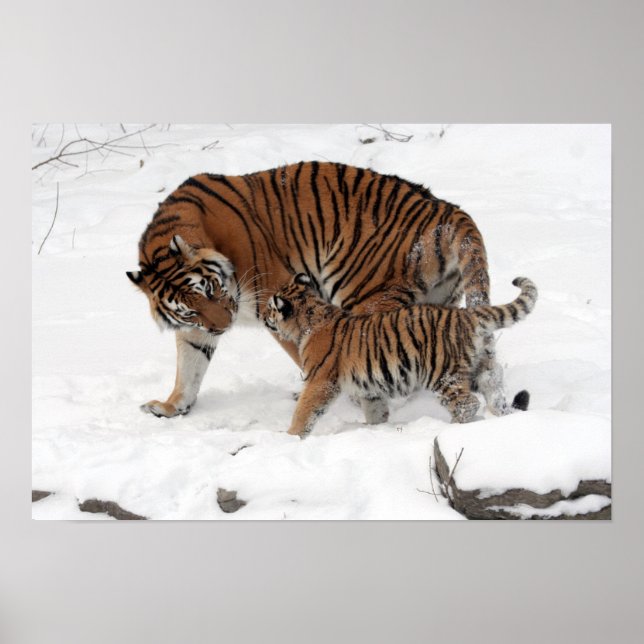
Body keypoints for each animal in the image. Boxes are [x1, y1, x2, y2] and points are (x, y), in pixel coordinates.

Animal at [126, 161, 514, 422]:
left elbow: (308, 355)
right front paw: (171, 406)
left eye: (209, 288)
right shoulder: (196, 328)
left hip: (365, 294)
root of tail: (448, 210)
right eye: (189, 309)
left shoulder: (277, 297)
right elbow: (189, 366)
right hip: (437, 301)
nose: (224, 327)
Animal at [263, 273, 537, 436]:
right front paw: (374, 428)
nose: (264, 316)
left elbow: (304, 410)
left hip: (442, 374)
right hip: (482, 368)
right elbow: (375, 410)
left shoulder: (320, 381)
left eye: (270, 308)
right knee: (495, 393)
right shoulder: (369, 387)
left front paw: (290, 436)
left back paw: (449, 429)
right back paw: (503, 418)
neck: (311, 316)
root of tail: (466, 314)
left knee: (467, 403)